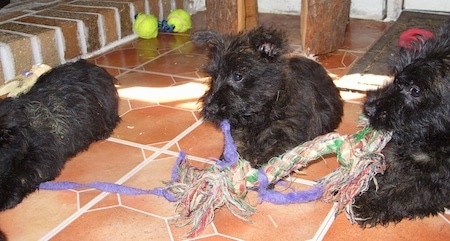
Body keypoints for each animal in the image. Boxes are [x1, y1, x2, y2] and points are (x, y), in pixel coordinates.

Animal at [356, 18, 450, 226]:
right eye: (396, 77)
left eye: (415, 90)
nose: (368, 108)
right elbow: (390, 165)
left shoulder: (440, 182)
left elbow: (408, 192)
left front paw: (370, 204)